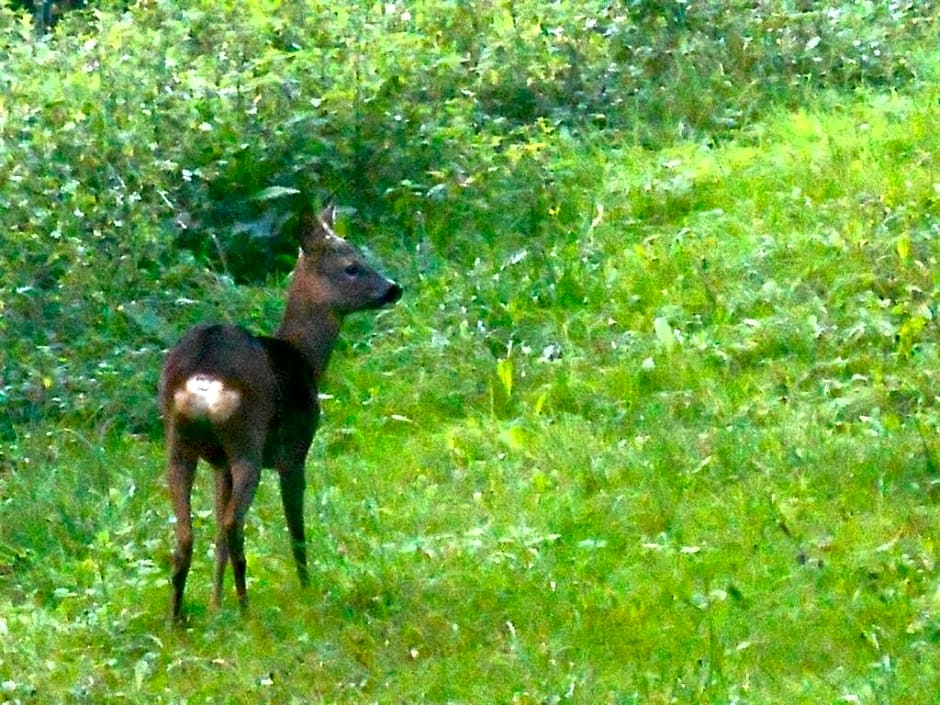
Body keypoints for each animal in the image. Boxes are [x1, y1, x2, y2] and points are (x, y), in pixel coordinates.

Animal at [158, 205, 400, 620]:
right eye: (352, 266)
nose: (393, 288)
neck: (306, 358)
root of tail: (202, 380)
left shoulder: (219, 466)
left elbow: (217, 541)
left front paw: (214, 605)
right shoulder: (295, 449)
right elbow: (296, 527)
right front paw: (306, 588)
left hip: (180, 444)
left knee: (189, 533)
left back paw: (178, 619)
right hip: (247, 442)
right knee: (234, 524)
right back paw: (246, 610)